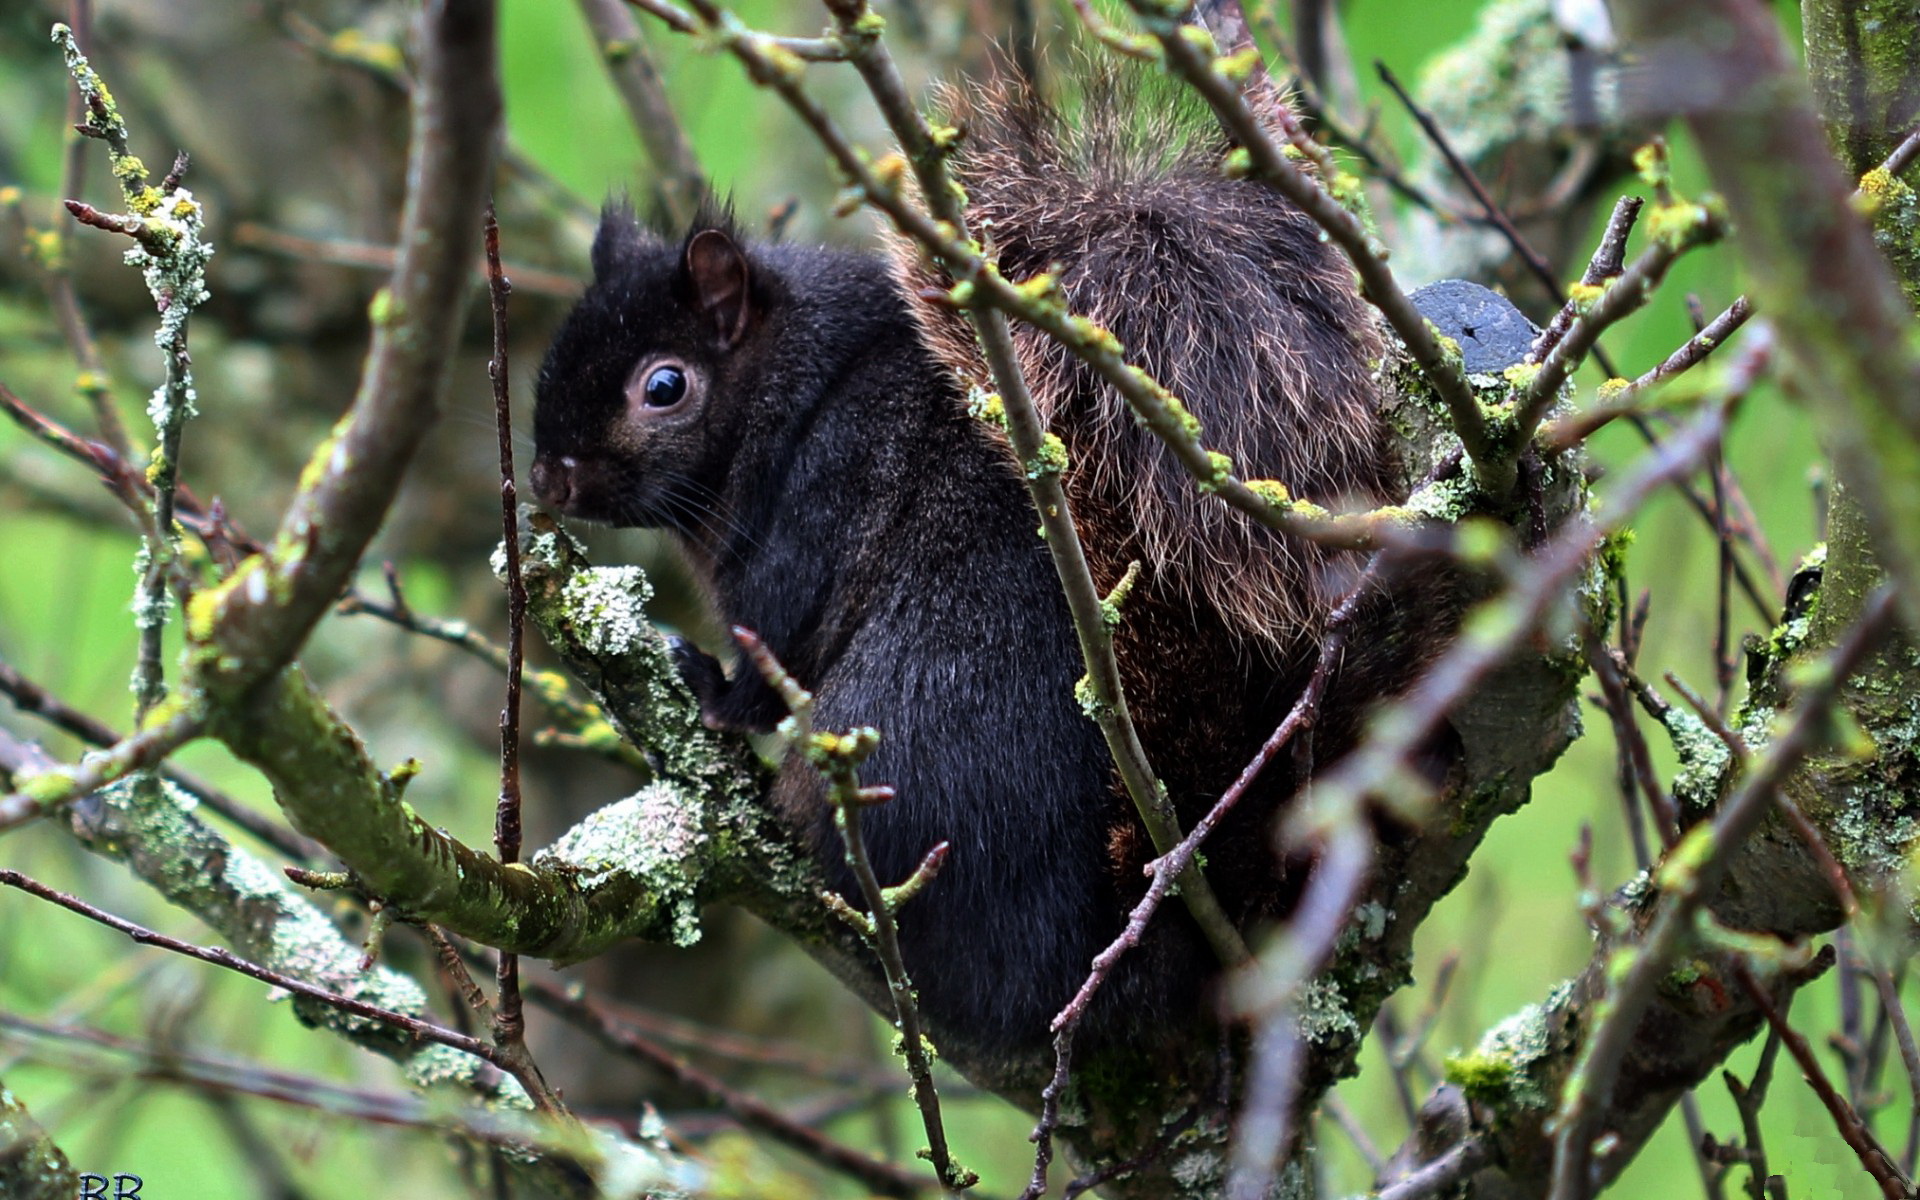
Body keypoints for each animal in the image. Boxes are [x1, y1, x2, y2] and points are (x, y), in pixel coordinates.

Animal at [533, 77, 1420, 1044]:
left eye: (664, 385)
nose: (547, 477)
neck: (787, 388)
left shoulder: (819, 497)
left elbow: (774, 650)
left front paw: (706, 685)